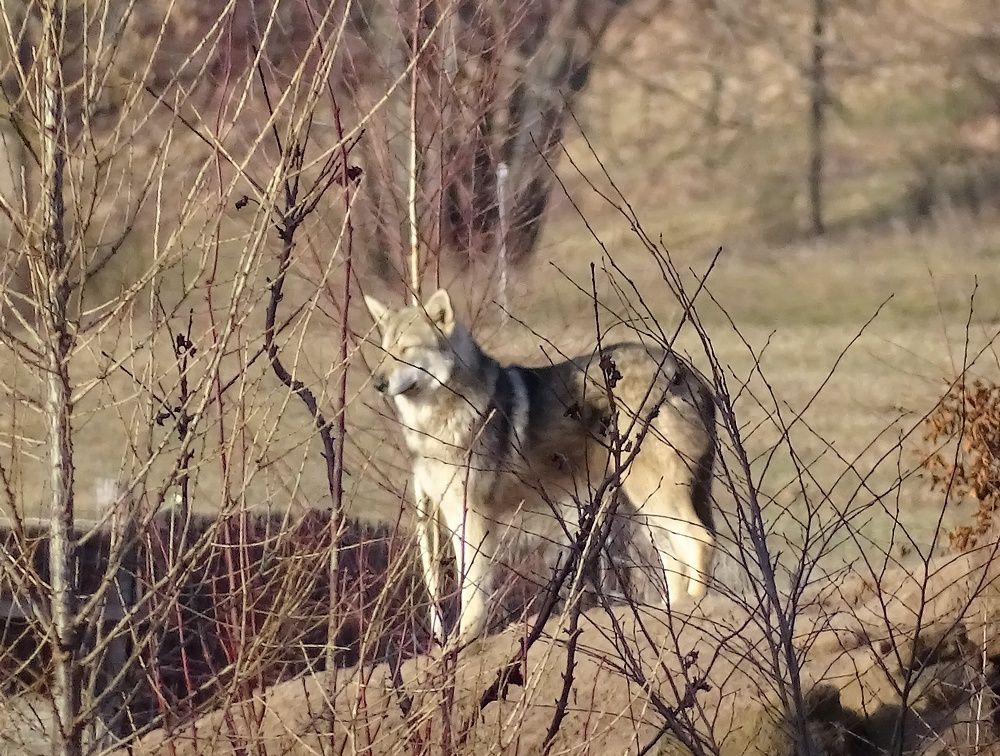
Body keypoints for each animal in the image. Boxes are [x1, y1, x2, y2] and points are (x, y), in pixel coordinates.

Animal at [364, 288, 716, 644]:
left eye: (406, 349)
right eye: (385, 351)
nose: (377, 383)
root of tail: (686, 373)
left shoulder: (474, 515)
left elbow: (472, 589)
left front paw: (464, 639)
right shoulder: (451, 515)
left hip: (653, 496)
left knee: (702, 540)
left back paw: (694, 608)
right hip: (646, 508)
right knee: (676, 560)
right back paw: (671, 613)